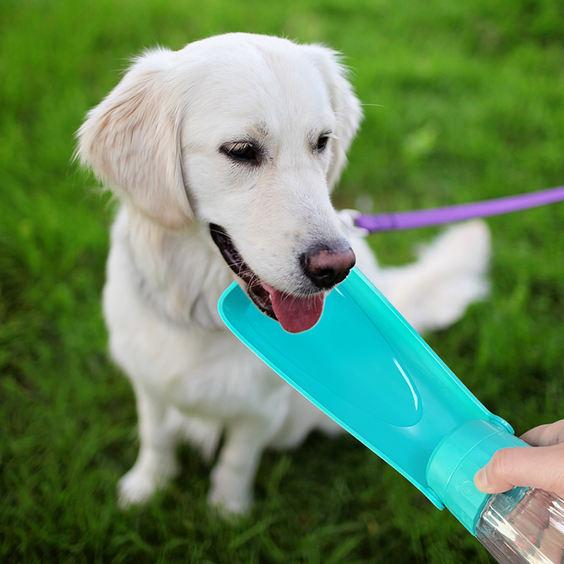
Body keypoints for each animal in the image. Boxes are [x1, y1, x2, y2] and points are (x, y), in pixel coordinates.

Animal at [77, 32, 492, 516]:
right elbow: (156, 437)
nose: (336, 268)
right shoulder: (148, 384)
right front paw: (146, 487)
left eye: (322, 141)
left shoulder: (264, 408)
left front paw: (228, 511)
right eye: (241, 151)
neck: (201, 313)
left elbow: (237, 458)